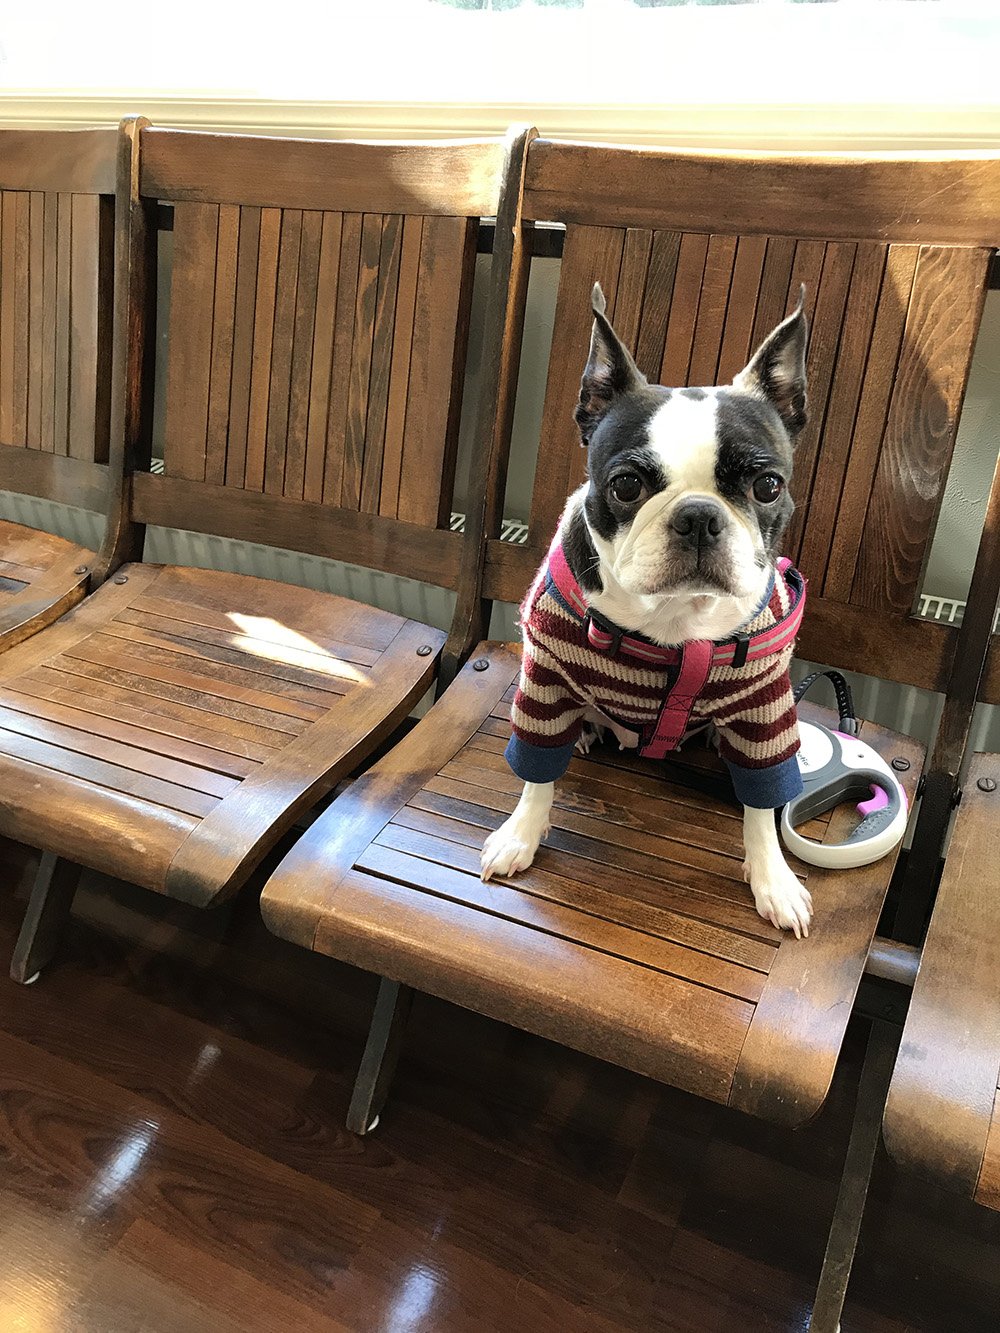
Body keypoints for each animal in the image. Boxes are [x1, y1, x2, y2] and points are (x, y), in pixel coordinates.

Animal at [480, 282, 813, 938]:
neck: (676, 617)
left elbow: (763, 802)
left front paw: (774, 880)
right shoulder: (544, 680)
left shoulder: (764, 709)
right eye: (627, 485)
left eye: (767, 486)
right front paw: (521, 835)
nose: (698, 516)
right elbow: (536, 771)